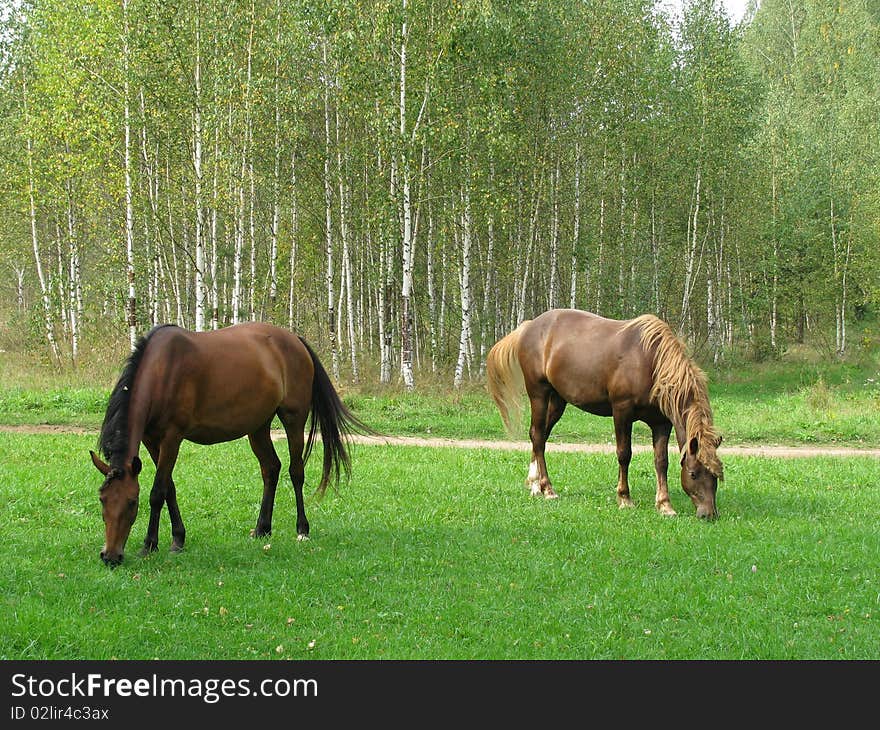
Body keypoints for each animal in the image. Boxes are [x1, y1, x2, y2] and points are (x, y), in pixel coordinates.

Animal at [91, 322, 372, 564]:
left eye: (131, 502)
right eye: (102, 500)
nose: (110, 556)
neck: (162, 371)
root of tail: (295, 340)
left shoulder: (172, 437)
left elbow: (158, 492)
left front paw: (150, 544)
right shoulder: (151, 440)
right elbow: (169, 488)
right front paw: (178, 539)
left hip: (294, 418)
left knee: (296, 472)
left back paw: (302, 529)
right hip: (258, 427)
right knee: (271, 468)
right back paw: (262, 528)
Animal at [484, 308, 724, 516]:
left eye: (717, 474)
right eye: (693, 474)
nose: (709, 514)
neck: (650, 362)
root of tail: (529, 326)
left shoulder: (661, 423)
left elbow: (661, 461)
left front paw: (665, 505)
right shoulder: (622, 411)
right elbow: (624, 454)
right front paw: (624, 498)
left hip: (558, 400)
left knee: (539, 436)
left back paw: (535, 485)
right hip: (539, 394)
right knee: (537, 435)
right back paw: (547, 488)